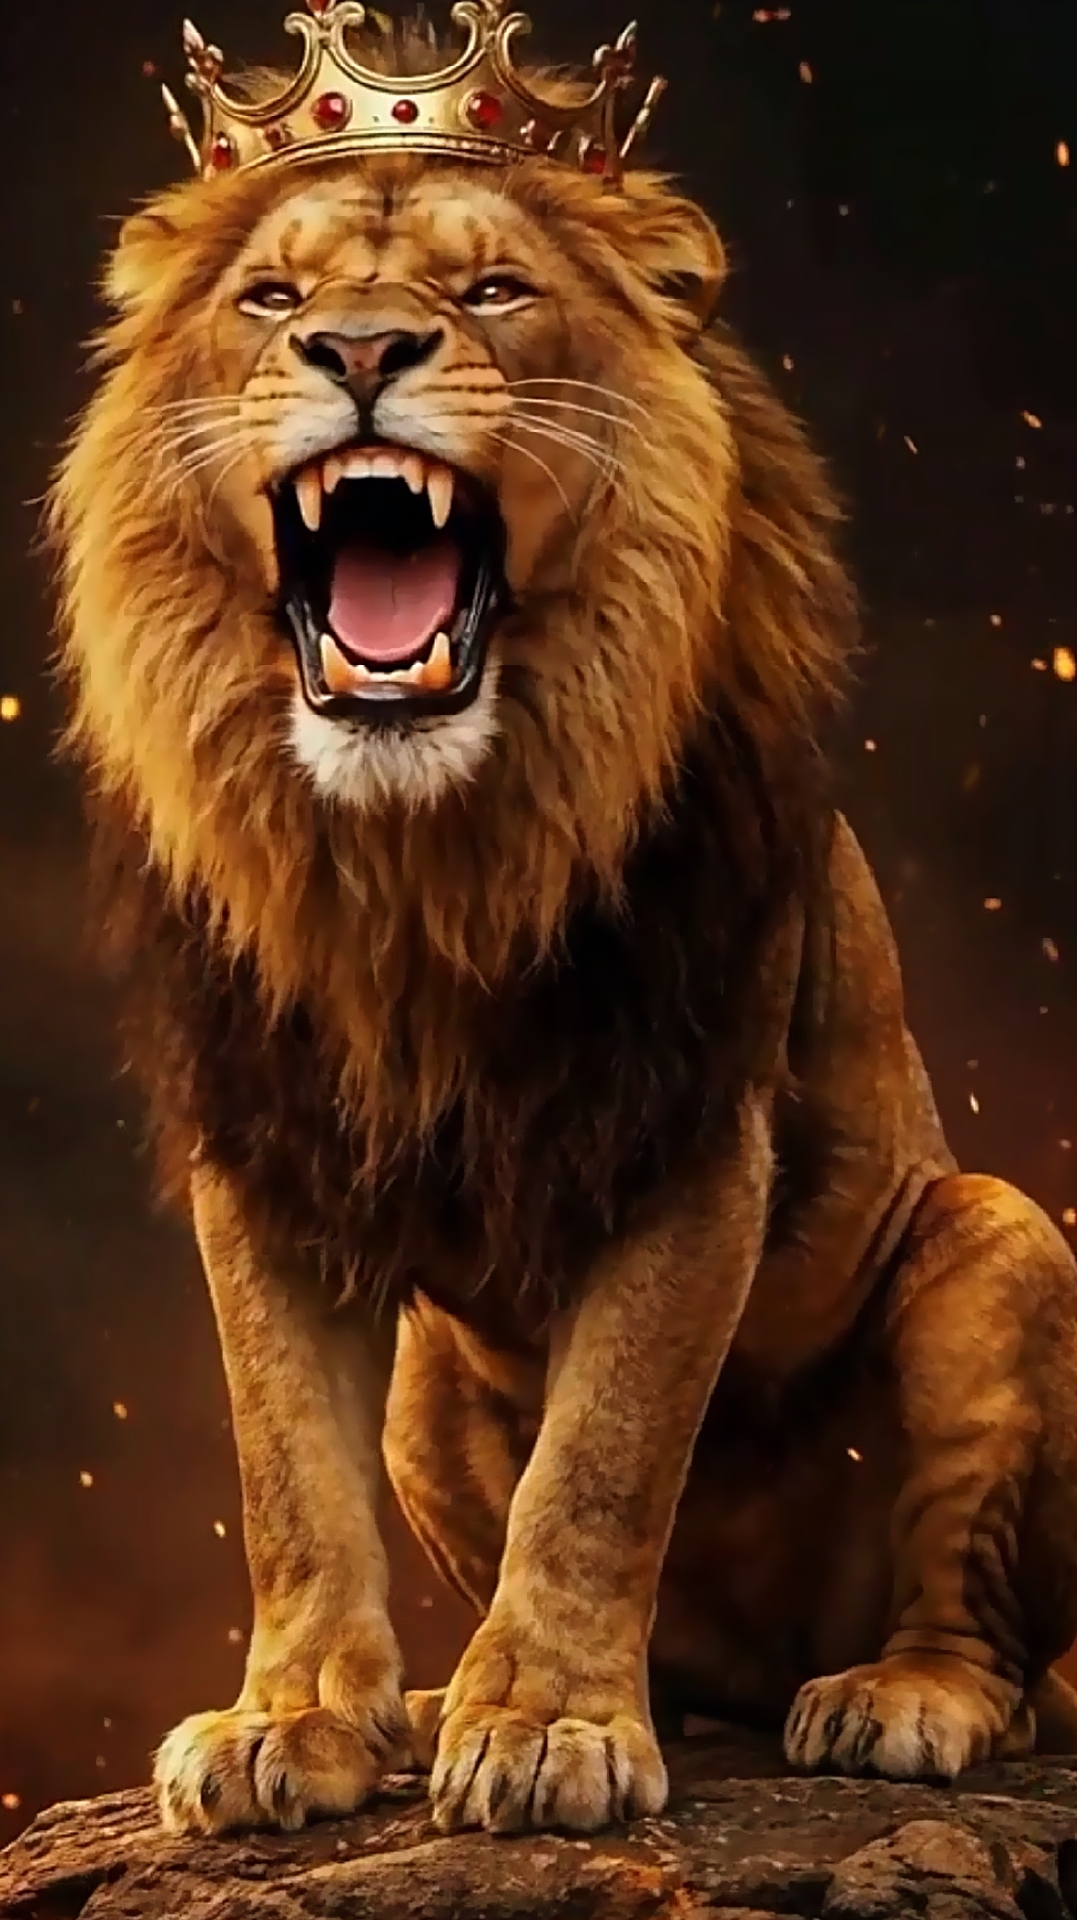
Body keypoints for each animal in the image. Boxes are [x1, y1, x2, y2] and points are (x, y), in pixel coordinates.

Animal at [48, 12, 1077, 1844]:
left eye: (494, 291)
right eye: (268, 297)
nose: (358, 347)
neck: (417, 851)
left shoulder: (689, 1129)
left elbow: (601, 1464)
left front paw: (542, 1728)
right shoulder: (262, 1149)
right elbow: (282, 1469)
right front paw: (293, 1719)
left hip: (999, 1238)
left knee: (996, 1656)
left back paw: (889, 1697)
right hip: (427, 1393)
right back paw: (441, 1699)